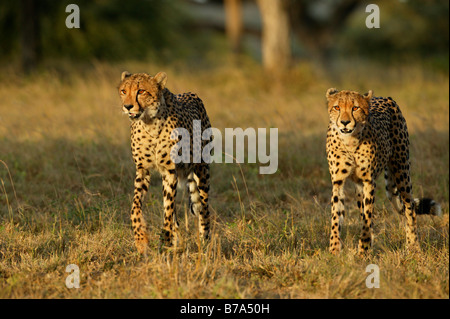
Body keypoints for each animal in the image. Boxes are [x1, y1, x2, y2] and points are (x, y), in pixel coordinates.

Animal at [118, 72, 212, 255]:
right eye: (124, 91)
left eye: (141, 91)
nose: (127, 106)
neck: (149, 122)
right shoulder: (142, 170)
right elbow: (135, 207)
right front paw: (141, 239)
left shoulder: (170, 172)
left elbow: (168, 211)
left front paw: (165, 240)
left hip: (201, 169)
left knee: (204, 209)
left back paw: (205, 242)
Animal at [326, 89, 442, 256]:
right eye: (337, 107)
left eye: (355, 108)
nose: (345, 122)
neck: (350, 142)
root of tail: (386, 98)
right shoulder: (338, 182)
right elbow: (337, 216)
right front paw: (334, 249)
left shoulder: (369, 181)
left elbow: (368, 216)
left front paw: (363, 251)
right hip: (361, 187)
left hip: (402, 171)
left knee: (410, 208)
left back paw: (413, 246)